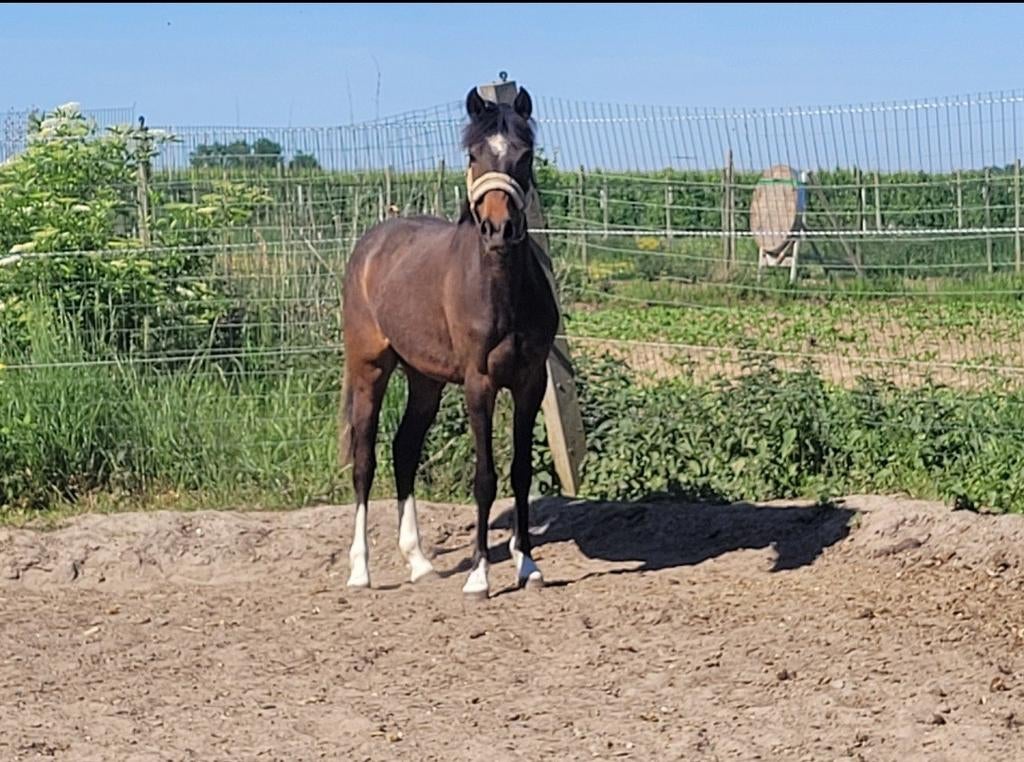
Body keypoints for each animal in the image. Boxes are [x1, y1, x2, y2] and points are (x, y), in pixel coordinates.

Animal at [338, 85, 559, 600]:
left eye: (525, 155)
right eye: (473, 154)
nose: (498, 229)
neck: (500, 291)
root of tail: (371, 244)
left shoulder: (530, 383)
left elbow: (521, 472)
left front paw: (527, 565)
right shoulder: (479, 384)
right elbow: (485, 477)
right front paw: (479, 575)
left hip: (425, 380)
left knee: (404, 449)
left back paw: (419, 562)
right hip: (369, 368)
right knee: (365, 459)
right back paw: (361, 571)